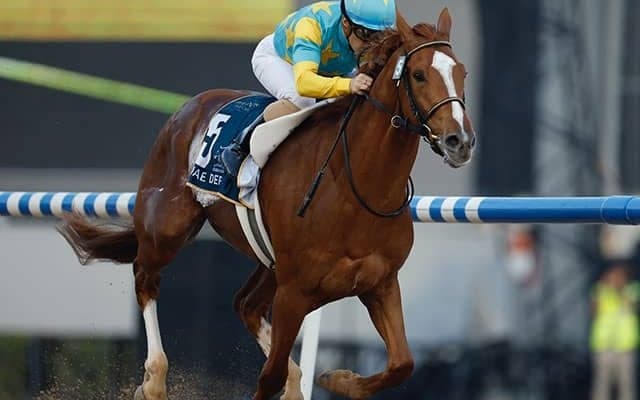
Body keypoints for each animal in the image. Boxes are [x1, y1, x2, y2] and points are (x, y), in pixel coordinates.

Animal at [58, 9, 475, 400]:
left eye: (463, 73)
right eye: (418, 75)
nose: (460, 141)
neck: (354, 187)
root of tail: (189, 107)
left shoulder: (380, 282)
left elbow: (402, 363)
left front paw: (338, 379)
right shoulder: (295, 291)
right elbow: (268, 376)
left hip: (269, 262)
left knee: (246, 305)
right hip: (168, 227)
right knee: (146, 278)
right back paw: (155, 380)